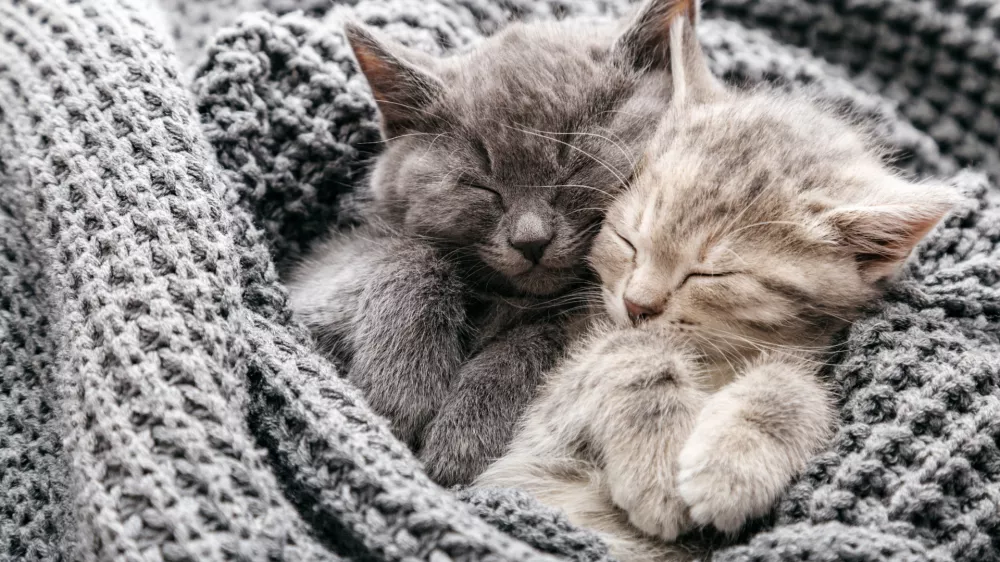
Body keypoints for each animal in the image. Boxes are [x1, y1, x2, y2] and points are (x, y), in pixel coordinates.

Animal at [288, 0, 688, 482]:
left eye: (574, 169)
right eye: (482, 186)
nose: (530, 240)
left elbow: (544, 336)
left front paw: (463, 436)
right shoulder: (320, 275)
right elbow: (411, 253)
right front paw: (401, 386)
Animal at [476, 2, 952, 556]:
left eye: (710, 272)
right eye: (628, 239)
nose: (637, 305)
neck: (717, 359)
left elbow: (794, 383)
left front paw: (734, 465)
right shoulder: (544, 419)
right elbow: (630, 350)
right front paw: (659, 470)